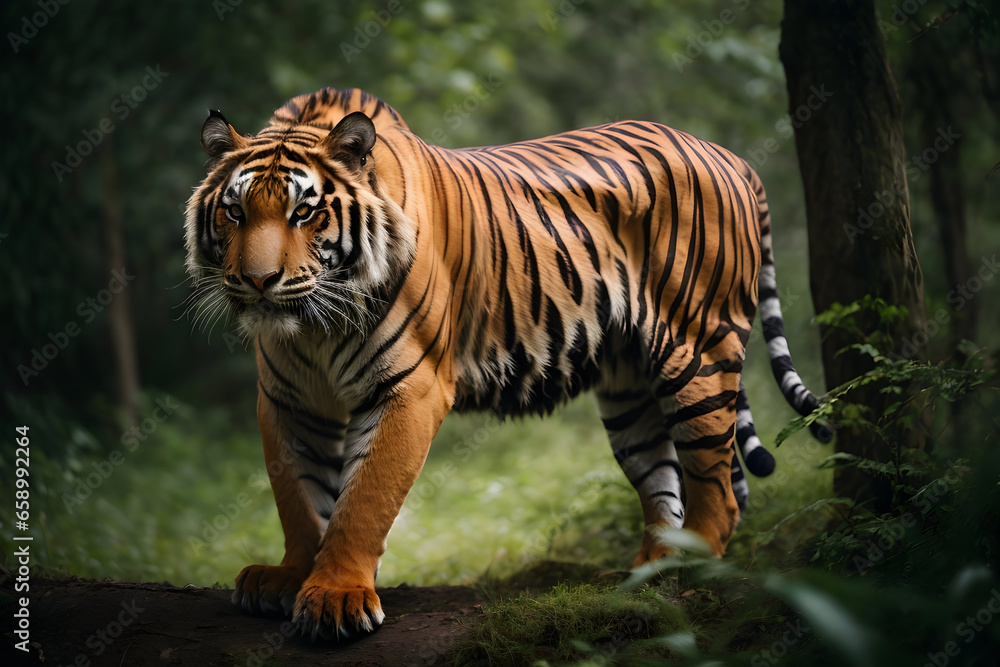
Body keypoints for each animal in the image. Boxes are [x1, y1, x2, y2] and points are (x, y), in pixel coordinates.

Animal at [184, 87, 827, 641]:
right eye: (235, 213)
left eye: (304, 214)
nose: (258, 281)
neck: (316, 326)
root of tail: (731, 157)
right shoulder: (289, 397)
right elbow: (299, 497)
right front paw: (290, 577)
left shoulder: (409, 387)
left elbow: (364, 498)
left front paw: (335, 597)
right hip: (629, 390)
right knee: (663, 479)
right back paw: (648, 576)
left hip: (698, 351)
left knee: (718, 487)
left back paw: (689, 571)